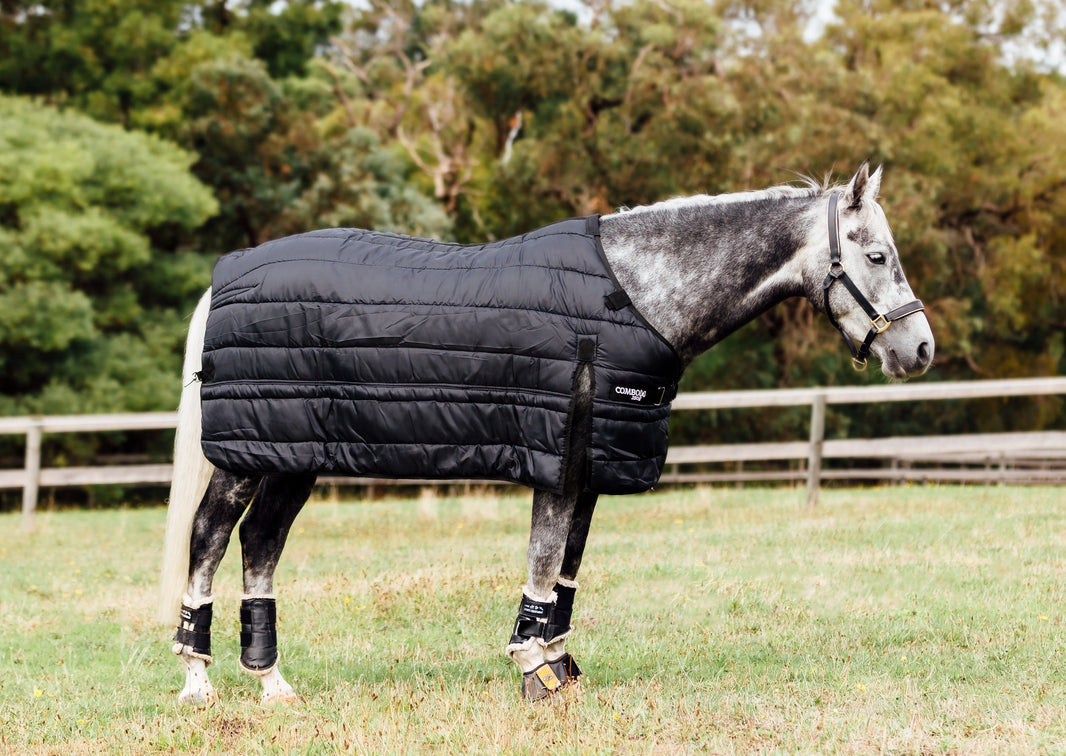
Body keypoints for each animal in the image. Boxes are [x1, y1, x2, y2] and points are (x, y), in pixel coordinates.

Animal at [158, 163, 933, 704]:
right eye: (875, 256)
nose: (920, 349)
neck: (632, 296)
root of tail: (226, 275)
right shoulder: (556, 460)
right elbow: (542, 561)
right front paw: (535, 673)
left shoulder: (589, 465)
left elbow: (565, 574)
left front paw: (561, 663)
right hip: (244, 456)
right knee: (210, 539)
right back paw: (198, 681)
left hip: (291, 453)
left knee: (261, 544)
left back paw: (272, 684)